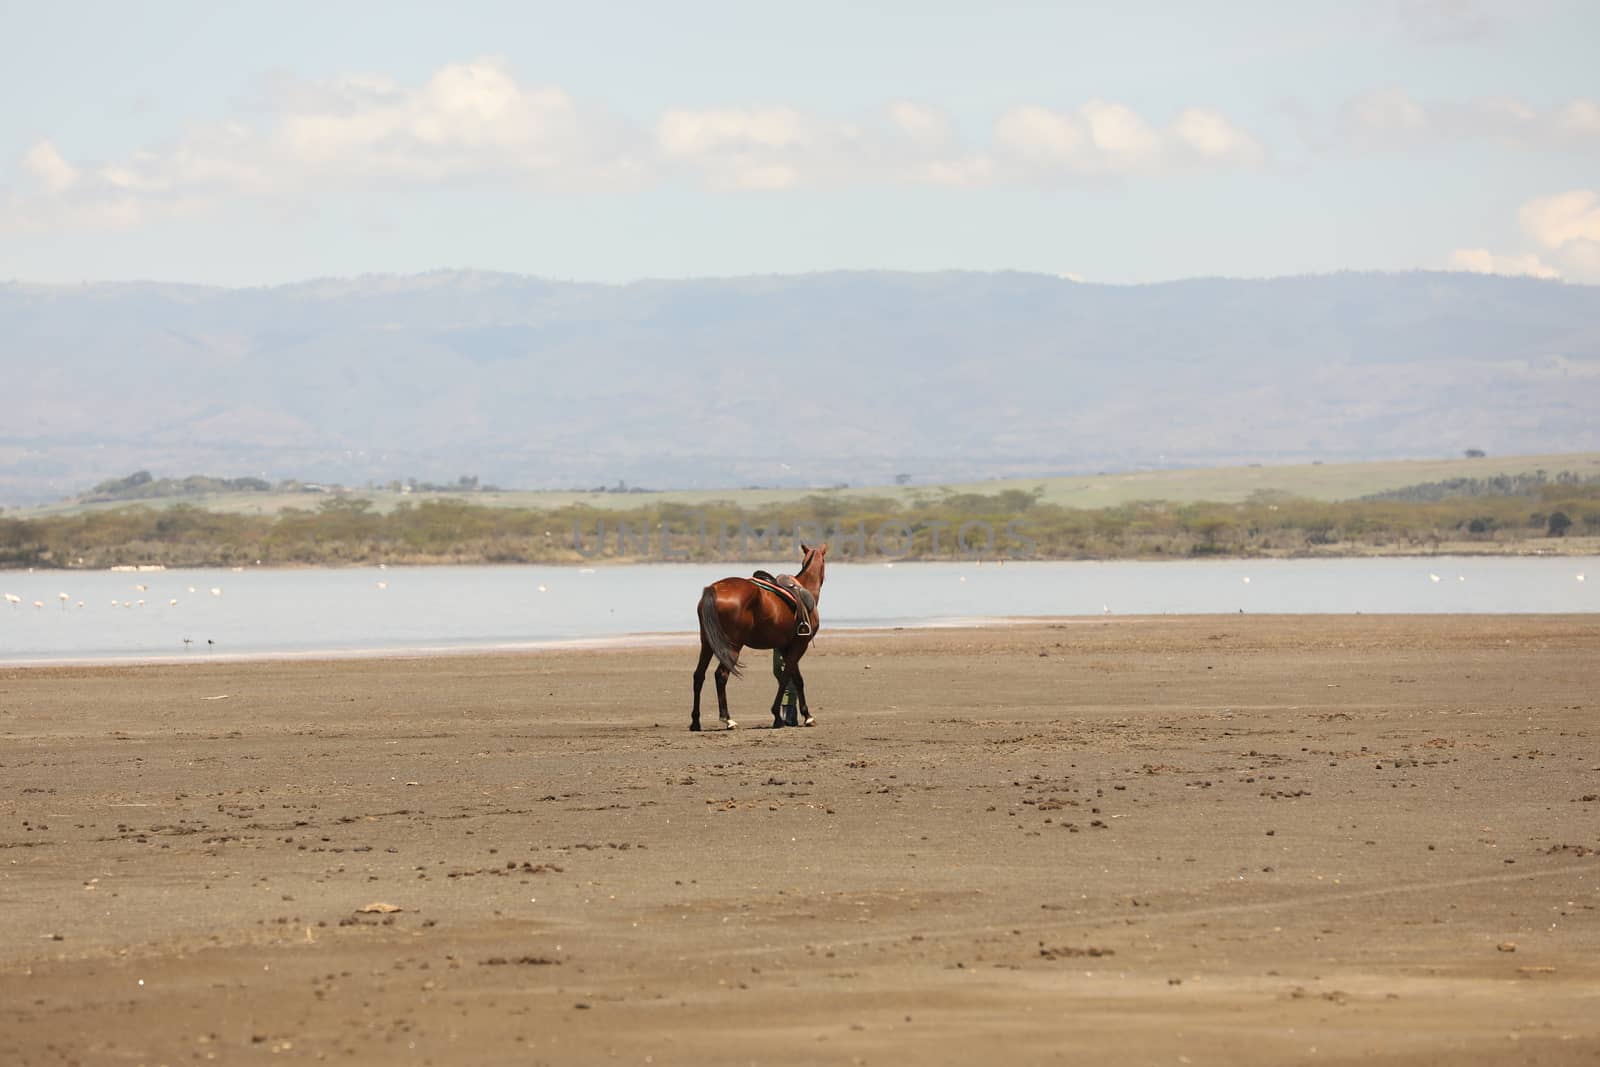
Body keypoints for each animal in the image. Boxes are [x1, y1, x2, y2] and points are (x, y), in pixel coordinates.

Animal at [694, 547, 832, 729]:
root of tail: (714, 588)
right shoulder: (799, 645)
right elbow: (787, 678)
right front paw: (780, 716)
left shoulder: (786, 647)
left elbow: (796, 679)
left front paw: (805, 715)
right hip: (733, 646)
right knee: (721, 675)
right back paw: (727, 719)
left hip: (707, 643)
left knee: (698, 675)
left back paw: (695, 721)